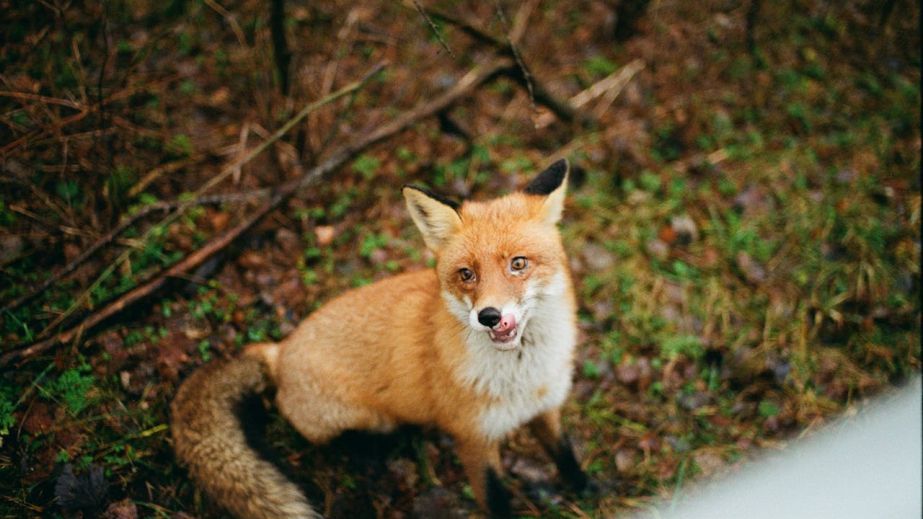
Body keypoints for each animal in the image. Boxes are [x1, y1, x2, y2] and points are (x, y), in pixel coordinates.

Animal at [170, 159, 588, 519]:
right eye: (466, 274)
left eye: (518, 264)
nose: (489, 316)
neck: (522, 376)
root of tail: (279, 349)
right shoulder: (474, 439)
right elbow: (496, 499)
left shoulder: (546, 407)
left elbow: (565, 452)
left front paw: (588, 489)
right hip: (363, 418)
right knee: (343, 442)